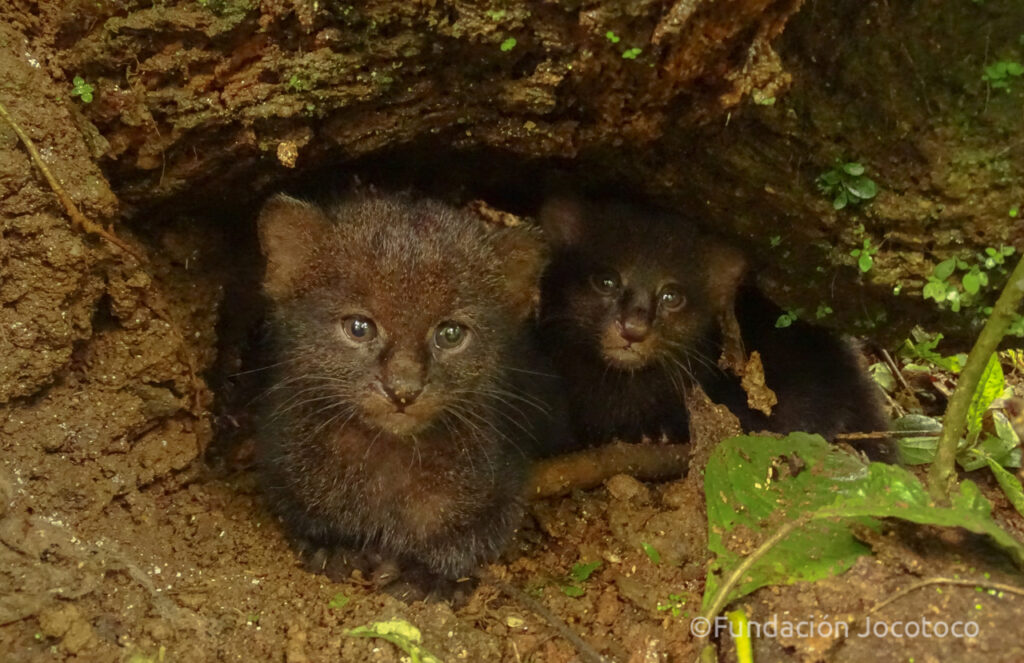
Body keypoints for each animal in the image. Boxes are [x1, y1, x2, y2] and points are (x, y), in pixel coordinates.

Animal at [252, 190, 565, 598]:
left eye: (451, 333)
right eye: (359, 327)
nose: (402, 391)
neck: (388, 457)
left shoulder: (503, 487)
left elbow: (466, 542)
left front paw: (424, 578)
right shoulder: (280, 461)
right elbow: (305, 514)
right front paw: (334, 549)